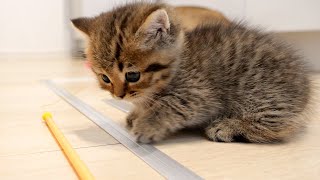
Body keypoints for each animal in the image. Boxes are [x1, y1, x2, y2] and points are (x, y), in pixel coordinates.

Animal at [72, 1, 310, 143]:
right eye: (105, 78)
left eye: (133, 76)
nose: (118, 96)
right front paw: (137, 113)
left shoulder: (200, 92)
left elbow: (171, 105)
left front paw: (148, 124)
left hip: (259, 91)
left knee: (280, 125)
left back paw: (229, 126)